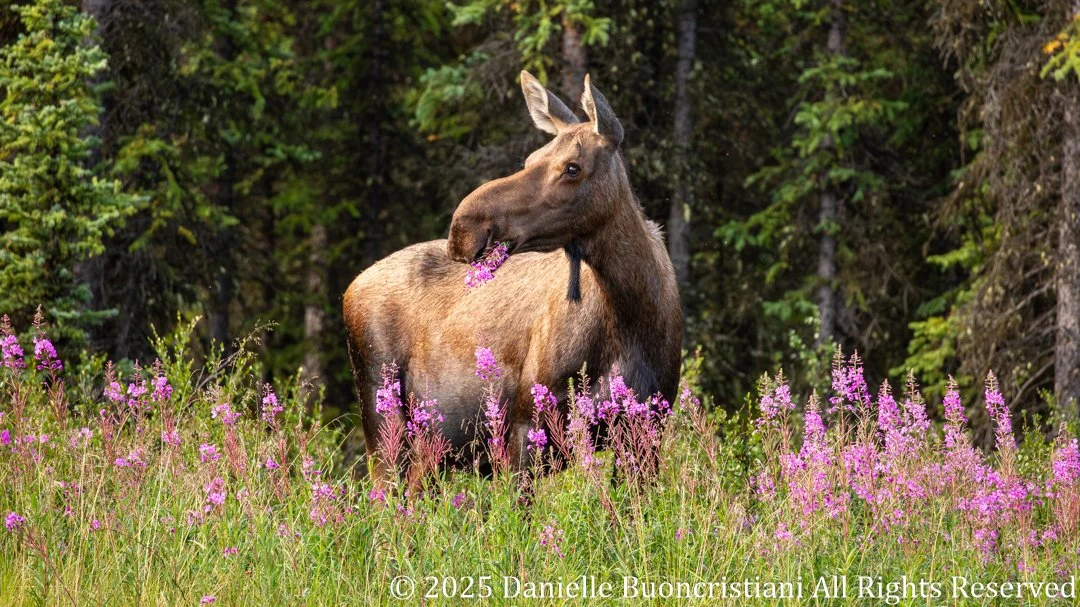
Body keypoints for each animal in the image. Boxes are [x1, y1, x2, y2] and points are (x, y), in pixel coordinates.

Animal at [343, 71, 682, 484]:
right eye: (531, 158)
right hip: (382, 414)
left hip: (428, 447)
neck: (630, 313)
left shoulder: (647, 429)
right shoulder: (526, 421)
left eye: (573, 166)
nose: (464, 227)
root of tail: (351, 287)